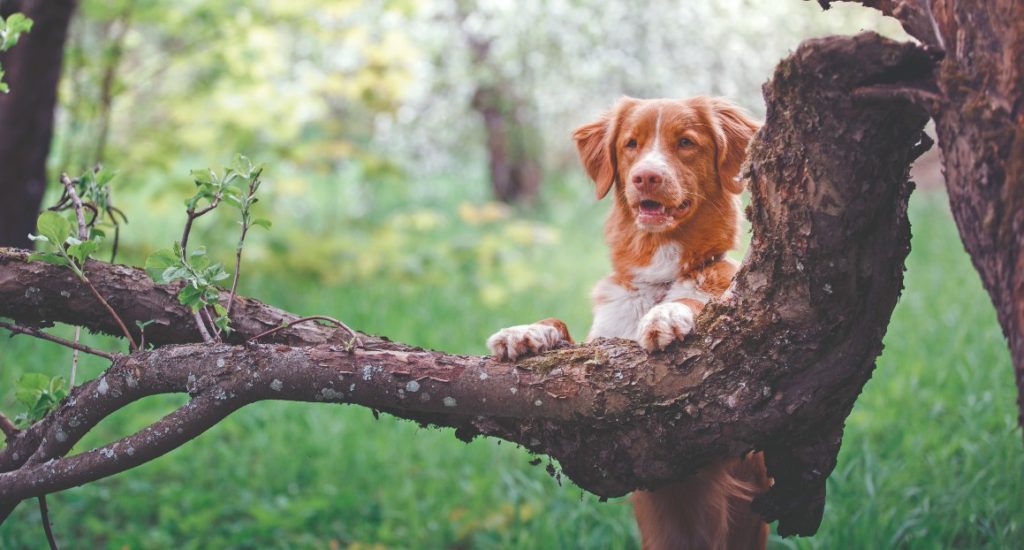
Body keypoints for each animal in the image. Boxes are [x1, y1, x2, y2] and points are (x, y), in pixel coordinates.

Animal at [487, 97, 770, 548]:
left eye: (686, 142)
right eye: (631, 144)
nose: (646, 176)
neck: (659, 274)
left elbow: (695, 301)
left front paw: (666, 315)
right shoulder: (601, 344)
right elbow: (561, 326)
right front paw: (525, 332)